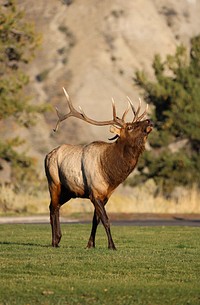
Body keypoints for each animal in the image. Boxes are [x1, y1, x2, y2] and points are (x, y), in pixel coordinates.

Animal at [44, 86, 152, 248]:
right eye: (130, 127)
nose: (149, 120)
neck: (110, 174)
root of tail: (47, 156)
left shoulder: (105, 195)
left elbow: (96, 220)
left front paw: (90, 244)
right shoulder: (94, 193)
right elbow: (106, 220)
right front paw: (112, 246)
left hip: (68, 191)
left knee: (56, 206)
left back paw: (58, 238)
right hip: (53, 182)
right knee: (52, 207)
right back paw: (54, 241)